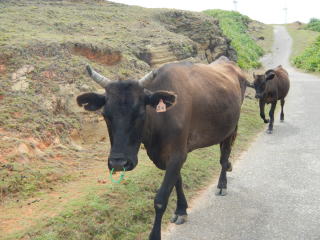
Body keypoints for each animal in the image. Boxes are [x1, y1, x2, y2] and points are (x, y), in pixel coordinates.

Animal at [77, 56, 248, 240]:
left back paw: (222, 183)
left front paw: (155, 234)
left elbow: (161, 199)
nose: (118, 163)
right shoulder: (168, 156)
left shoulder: (177, 154)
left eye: (141, 114)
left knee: (224, 155)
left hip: (232, 127)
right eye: (105, 115)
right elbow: (177, 182)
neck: (160, 121)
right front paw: (181, 210)